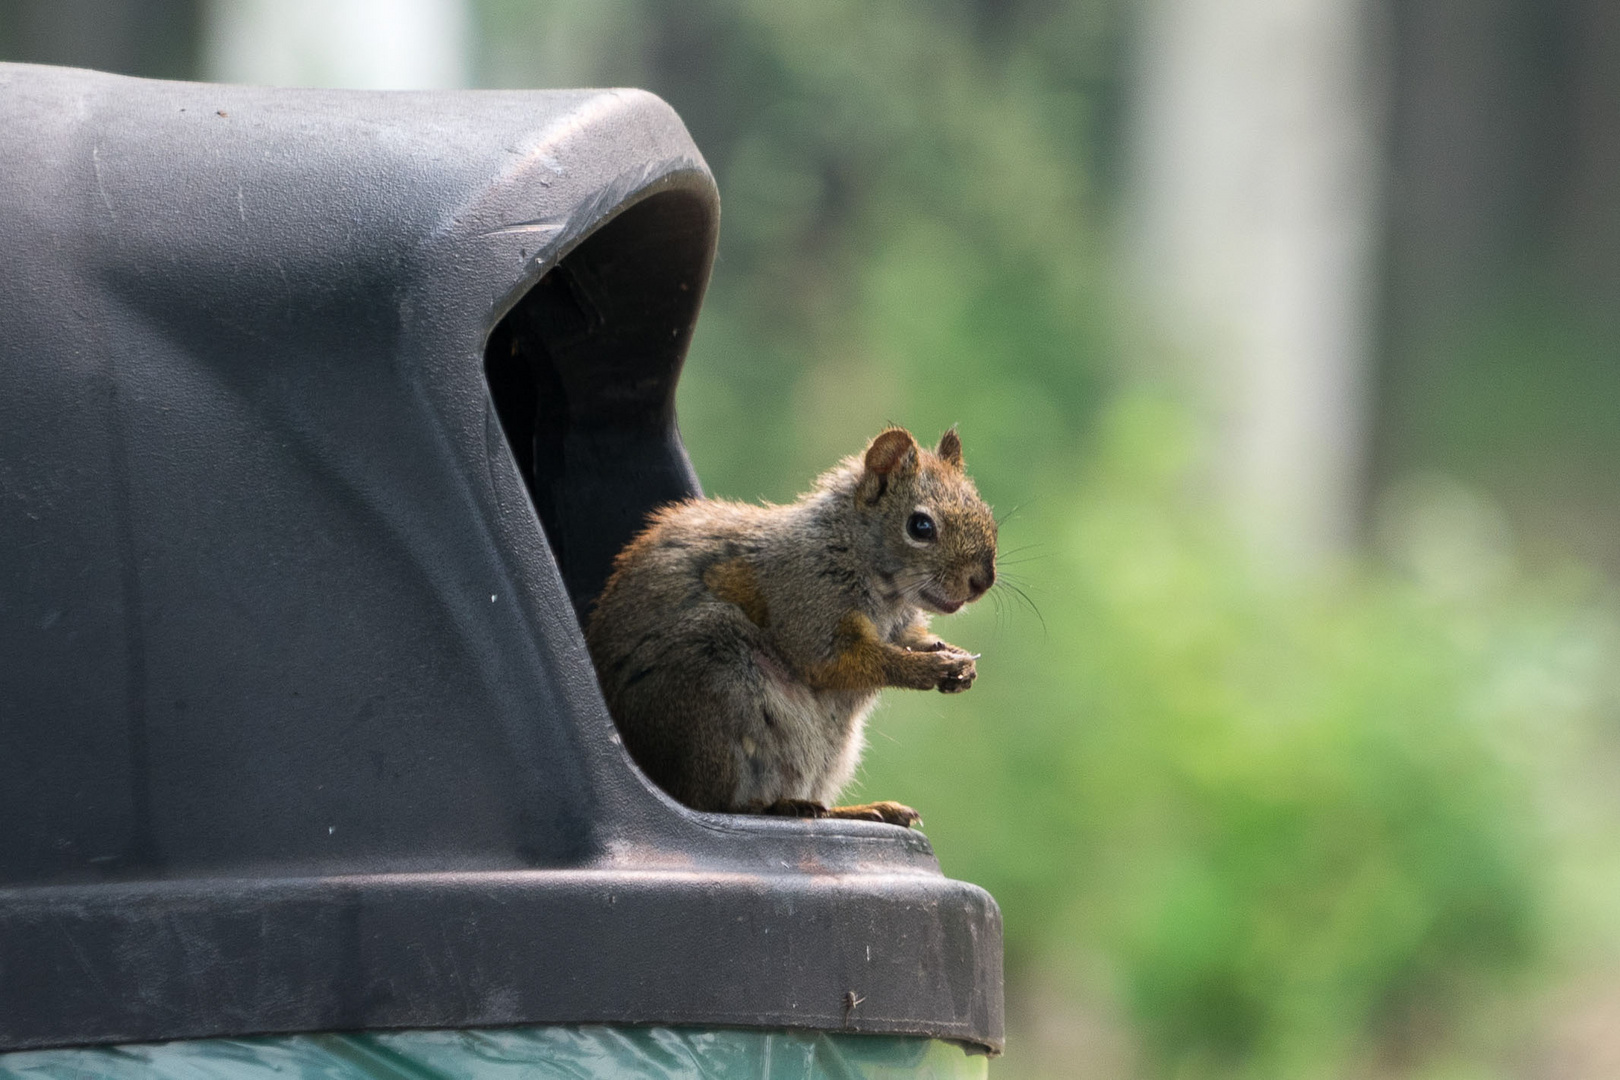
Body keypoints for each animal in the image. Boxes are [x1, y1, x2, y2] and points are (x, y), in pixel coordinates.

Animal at [589, 427, 991, 822]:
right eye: (920, 527)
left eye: (984, 511)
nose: (982, 581)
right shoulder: (807, 604)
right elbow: (840, 663)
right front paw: (929, 666)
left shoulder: (900, 627)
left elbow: (911, 638)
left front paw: (956, 661)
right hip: (713, 689)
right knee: (715, 801)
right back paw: (776, 805)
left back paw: (862, 809)